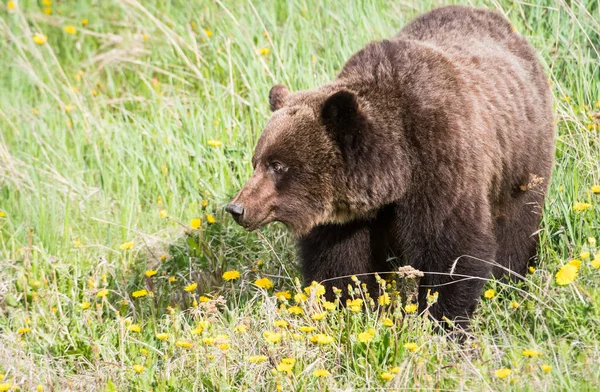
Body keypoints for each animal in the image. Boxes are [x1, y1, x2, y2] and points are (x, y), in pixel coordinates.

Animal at [225, 5, 552, 330]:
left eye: (277, 165)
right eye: (256, 161)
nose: (237, 208)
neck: (396, 170)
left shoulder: (442, 161)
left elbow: (453, 248)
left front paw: (442, 320)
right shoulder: (346, 219)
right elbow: (340, 262)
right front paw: (348, 307)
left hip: (520, 158)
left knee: (515, 224)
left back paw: (508, 278)